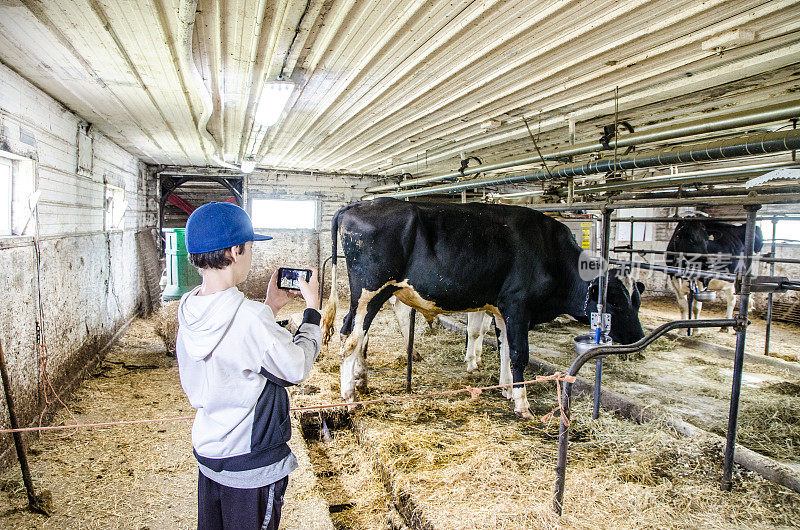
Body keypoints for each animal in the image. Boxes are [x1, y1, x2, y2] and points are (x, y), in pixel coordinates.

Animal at [318, 198, 644, 416]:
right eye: (615, 302)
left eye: (636, 300)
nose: (638, 338)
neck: (550, 253)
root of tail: (357, 205)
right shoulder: (518, 306)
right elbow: (519, 354)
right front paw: (522, 403)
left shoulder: (502, 309)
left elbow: (504, 349)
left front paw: (506, 389)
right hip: (370, 291)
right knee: (351, 339)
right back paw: (349, 396)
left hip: (373, 295)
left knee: (355, 334)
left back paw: (361, 380)